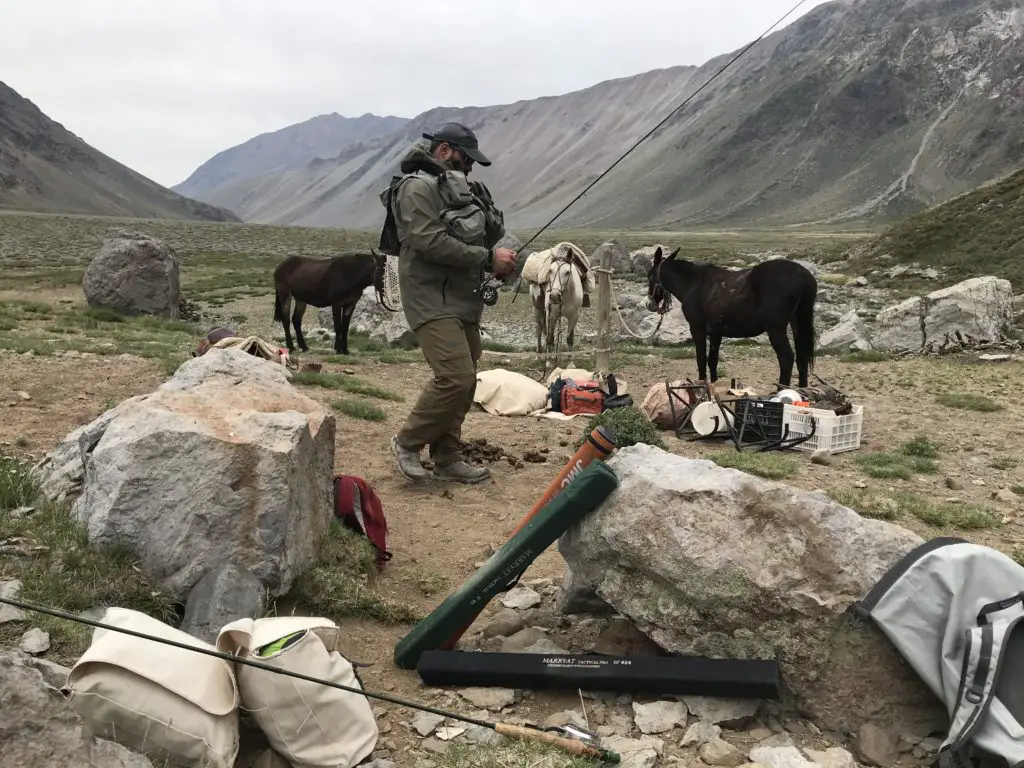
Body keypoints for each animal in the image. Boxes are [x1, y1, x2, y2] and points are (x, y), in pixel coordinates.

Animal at [647, 247, 815, 387]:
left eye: (649, 276)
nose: (650, 304)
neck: (692, 283)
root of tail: (803, 275)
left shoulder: (697, 328)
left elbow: (701, 359)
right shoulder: (716, 332)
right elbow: (712, 360)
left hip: (776, 329)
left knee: (786, 358)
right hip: (797, 323)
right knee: (802, 357)